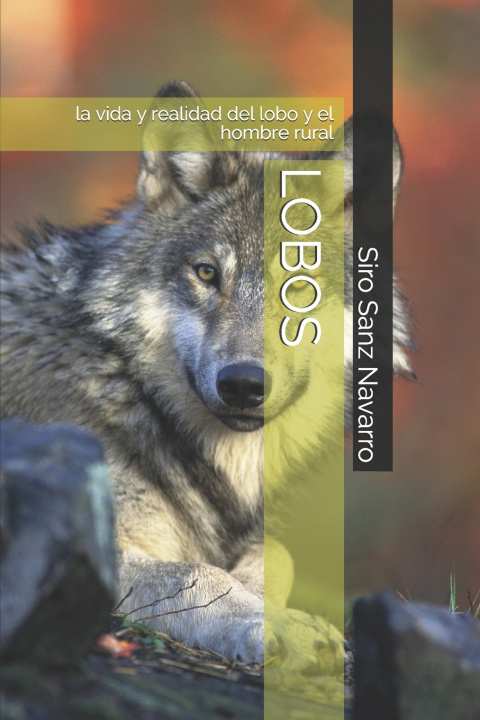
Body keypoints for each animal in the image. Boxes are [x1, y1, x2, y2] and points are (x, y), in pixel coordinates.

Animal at [1, 81, 411, 673]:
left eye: (301, 286)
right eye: (206, 273)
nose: (243, 384)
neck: (130, 390)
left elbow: (276, 554)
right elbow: (199, 572)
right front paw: (272, 623)